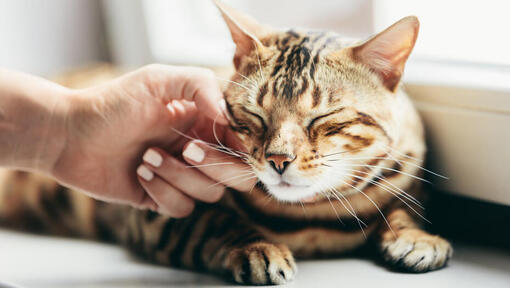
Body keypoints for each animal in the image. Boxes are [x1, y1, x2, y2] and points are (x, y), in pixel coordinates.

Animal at [0, 0, 450, 286]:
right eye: (254, 115)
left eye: (322, 119)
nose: (278, 160)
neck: (310, 218)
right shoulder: (157, 215)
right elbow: (215, 223)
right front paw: (257, 248)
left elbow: (403, 208)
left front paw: (417, 237)